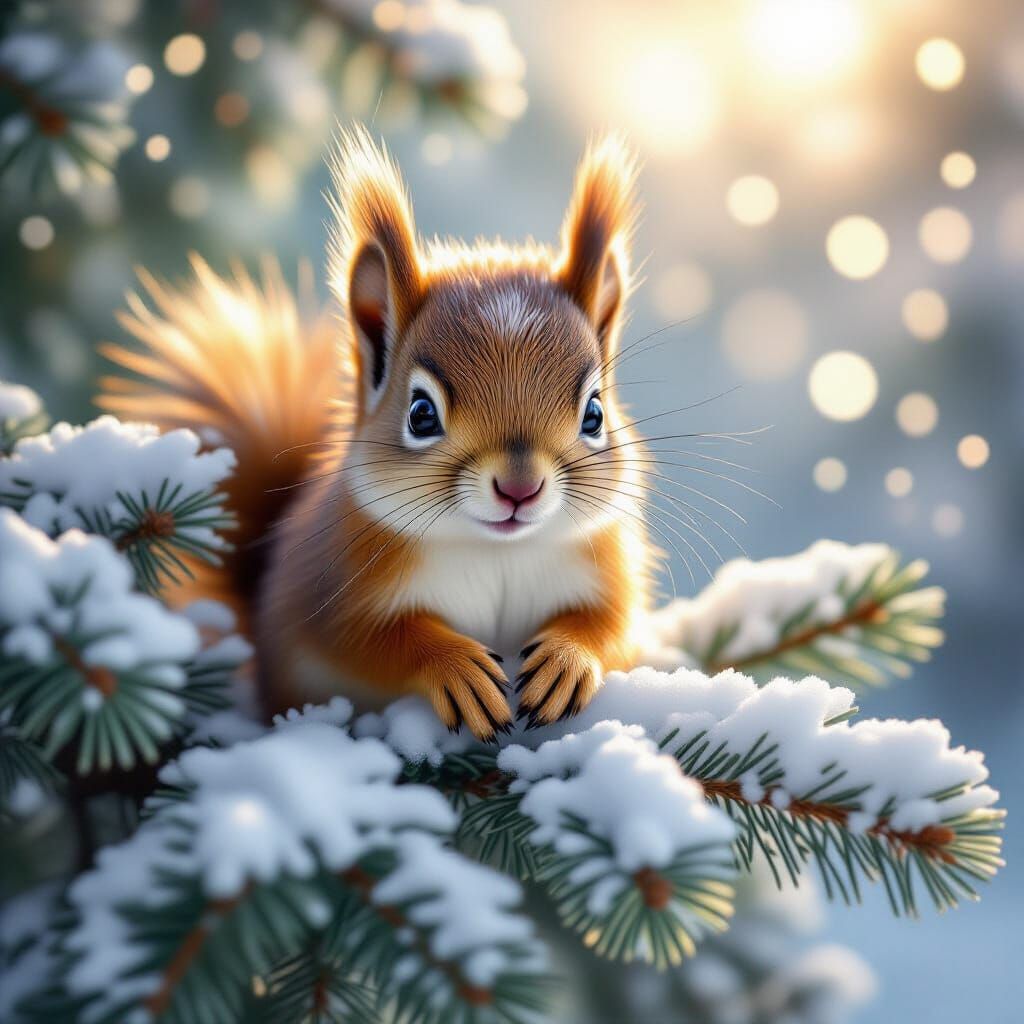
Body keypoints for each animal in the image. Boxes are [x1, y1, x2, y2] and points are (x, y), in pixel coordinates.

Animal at [98, 127, 654, 741]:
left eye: (594, 414)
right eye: (421, 415)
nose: (519, 488)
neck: (495, 550)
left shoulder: (607, 570)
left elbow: (610, 624)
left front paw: (565, 659)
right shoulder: (333, 590)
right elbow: (374, 641)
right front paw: (455, 667)